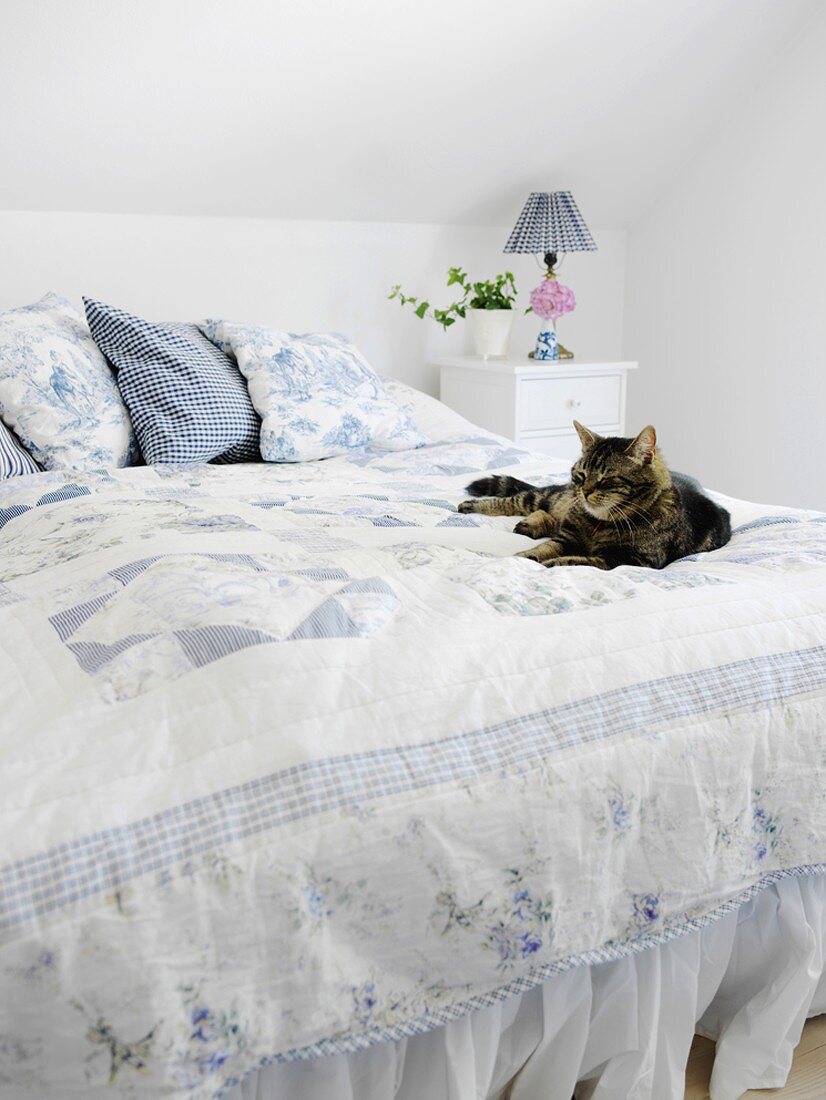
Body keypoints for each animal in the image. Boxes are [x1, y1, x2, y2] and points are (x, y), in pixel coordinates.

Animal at [461, 420, 734, 572]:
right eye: (581, 474)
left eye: (606, 478)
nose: (584, 491)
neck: (599, 524)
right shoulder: (566, 538)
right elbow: (542, 549)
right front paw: (523, 557)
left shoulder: (627, 560)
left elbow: (576, 561)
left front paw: (548, 563)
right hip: (555, 497)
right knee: (523, 500)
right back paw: (473, 505)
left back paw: (532, 524)